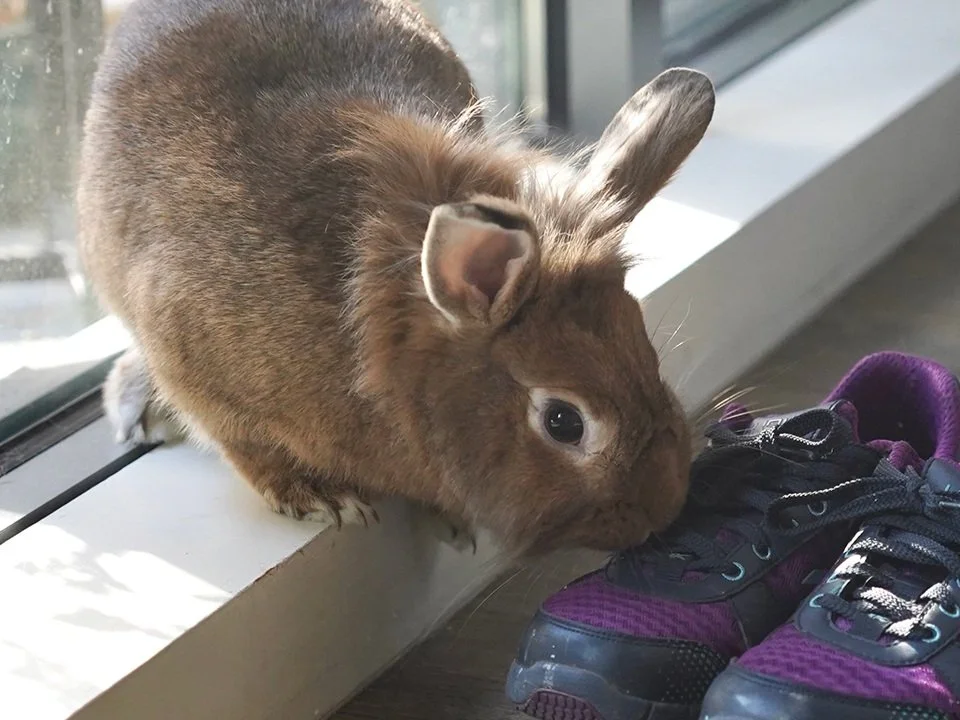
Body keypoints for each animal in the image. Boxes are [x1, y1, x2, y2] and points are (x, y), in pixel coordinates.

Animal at [77, 0, 715, 556]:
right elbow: (247, 448)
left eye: (648, 353)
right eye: (563, 422)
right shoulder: (195, 364)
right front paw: (321, 499)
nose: (662, 509)